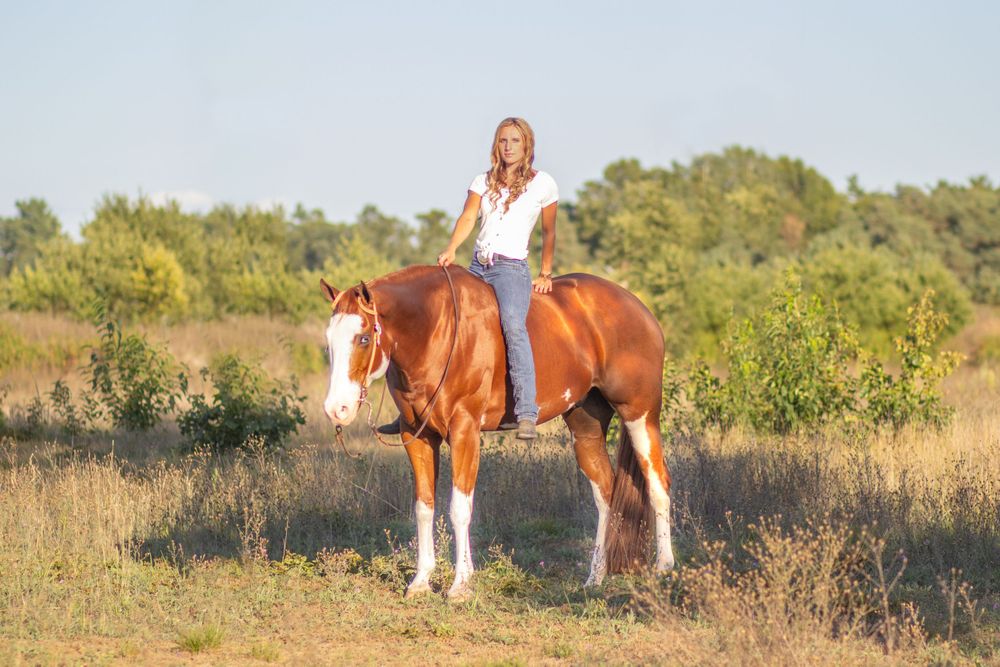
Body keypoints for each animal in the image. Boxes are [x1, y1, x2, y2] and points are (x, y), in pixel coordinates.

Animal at [320, 264, 674, 599]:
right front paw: (421, 581)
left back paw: (664, 568)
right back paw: (595, 577)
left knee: (657, 485)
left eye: (363, 338)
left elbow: (459, 509)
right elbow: (424, 507)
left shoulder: (464, 431)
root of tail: (639, 309)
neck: (435, 331)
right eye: (329, 342)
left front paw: (460, 585)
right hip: (585, 427)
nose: (336, 408)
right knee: (606, 494)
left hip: (640, 415)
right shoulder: (416, 436)